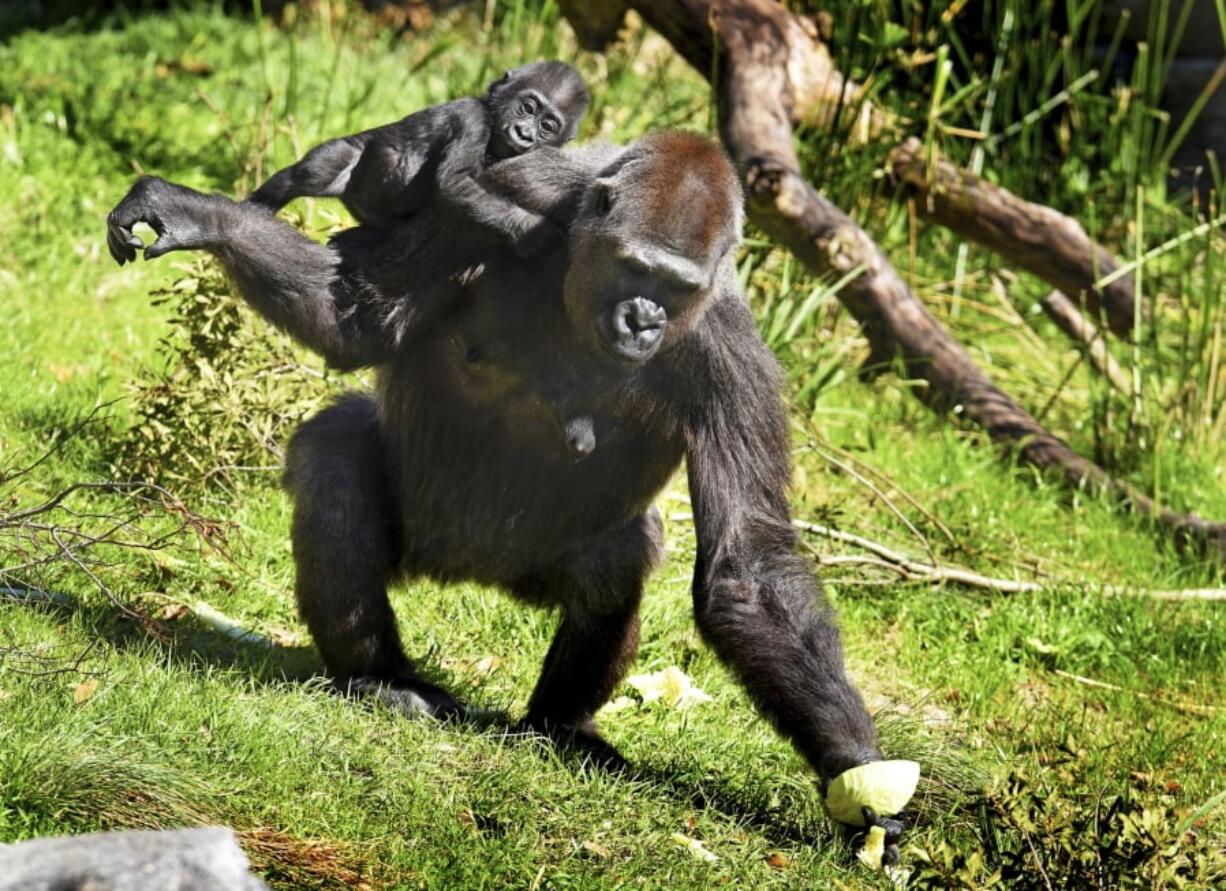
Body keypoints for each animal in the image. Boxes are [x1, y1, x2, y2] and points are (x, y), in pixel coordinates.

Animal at [105, 128, 907, 848]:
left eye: (677, 289)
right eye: (635, 269)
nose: (644, 321)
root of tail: (468, 575)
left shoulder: (731, 346)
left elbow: (748, 565)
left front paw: (855, 776)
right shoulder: (504, 198)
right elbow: (358, 318)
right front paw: (200, 214)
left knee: (616, 555)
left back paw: (559, 725)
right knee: (335, 457)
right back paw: (378, 677)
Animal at [250, 59, 588, 256]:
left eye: (547, 127)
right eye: (527, 107)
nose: (524, 134)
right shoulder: (471, 118)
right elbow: (454, 183)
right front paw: (531, 230)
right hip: (349, 155)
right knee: (309, 174)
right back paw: (255, 208)